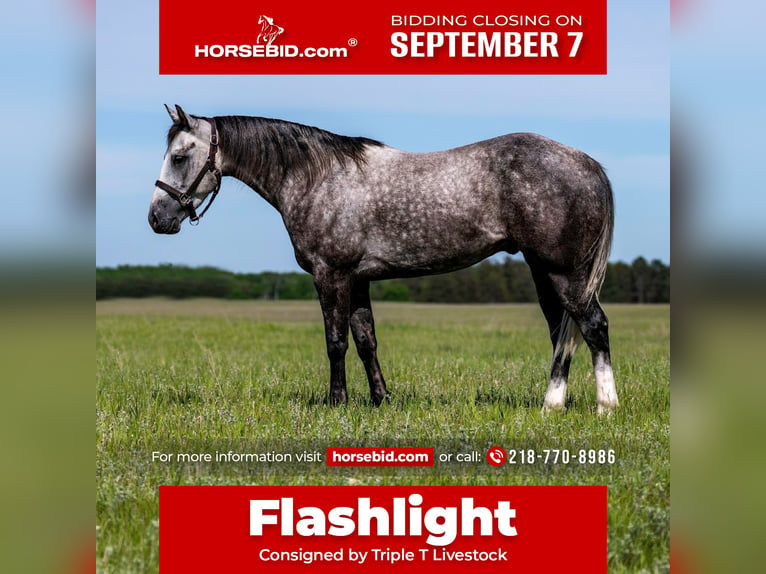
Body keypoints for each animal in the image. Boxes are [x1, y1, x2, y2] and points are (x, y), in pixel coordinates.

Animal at [149, 105, 619, 414]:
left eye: (179, 156)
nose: (157, 218)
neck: (318, 178)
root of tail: (588, 164)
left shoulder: (331, 275)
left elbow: (335, 341)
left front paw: (336, 403)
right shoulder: (359, 280)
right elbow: (365, 341)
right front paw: (381, 400)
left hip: (564, 273)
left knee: (592, 325)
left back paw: (605, 406)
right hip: (544, 272)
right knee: (562, 330)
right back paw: (552, 405)